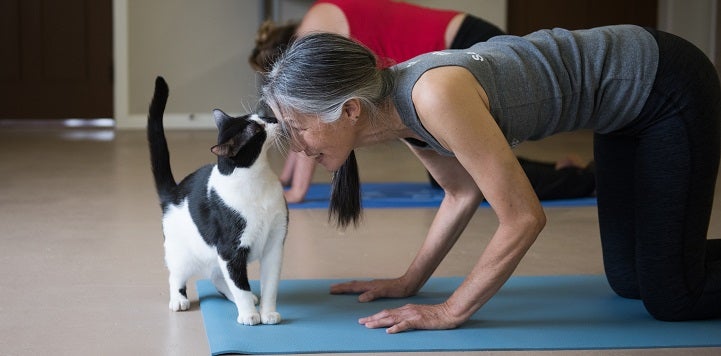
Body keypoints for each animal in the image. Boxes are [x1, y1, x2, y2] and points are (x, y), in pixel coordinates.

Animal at [146, 76, 286, 326]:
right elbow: (240, 284)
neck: (257, 179)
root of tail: (173, 192)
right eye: (257, 129)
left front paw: (268, 313)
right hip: (180, 253)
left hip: (215, 259)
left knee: (219, 278)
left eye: (259, 118)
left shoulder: (274, 244)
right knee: (177, 276)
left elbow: (270, 285)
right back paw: (179, 300)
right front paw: (249, 315)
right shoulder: (230, 250)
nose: (273, 118)